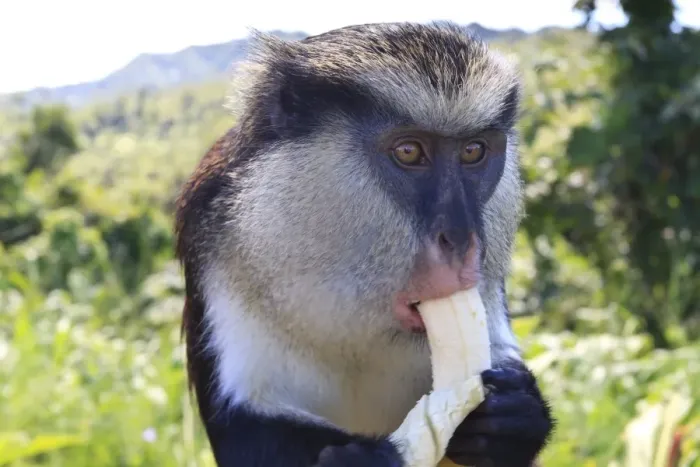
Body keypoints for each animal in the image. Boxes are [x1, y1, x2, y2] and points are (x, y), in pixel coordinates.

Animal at [175, 21, 554, 467]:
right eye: (409, 152)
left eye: (473, 151)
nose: (461, 239)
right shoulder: (214, 243)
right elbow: (242, 432)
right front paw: (362, 459)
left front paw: (517, 416)